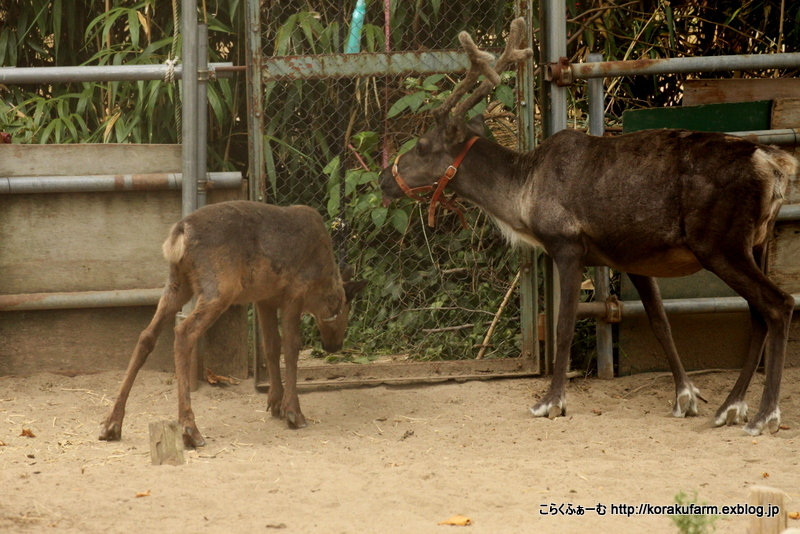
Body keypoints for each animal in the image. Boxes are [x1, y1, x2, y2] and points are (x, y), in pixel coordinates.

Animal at [97, 201, 368, 448]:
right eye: (346, 311)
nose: (335, 345)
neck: (322, 284)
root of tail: (180, 234)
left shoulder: (265, 298)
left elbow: (271, 346)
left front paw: (275, 403)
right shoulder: (295, 291)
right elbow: (291, 348)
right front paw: (293, 412)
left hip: (177, 284)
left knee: (147, 335)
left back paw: (112, 424)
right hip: (219, 287)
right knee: (184, 332)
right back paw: (190, 430)